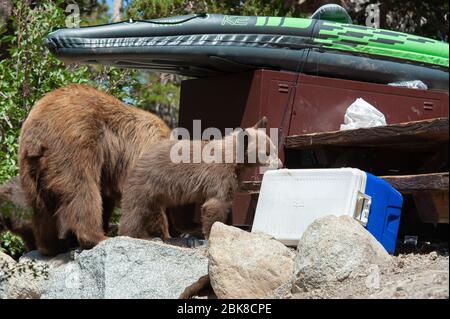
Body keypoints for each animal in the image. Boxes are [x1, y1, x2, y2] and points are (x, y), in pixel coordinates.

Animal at [18, 84, 171, 256]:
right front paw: (156, 234)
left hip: (29, 167)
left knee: (40, 207)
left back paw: (53, 245)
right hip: (75, 145)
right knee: (82, 191)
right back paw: (97, 237)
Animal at [119, 119, 282, 241]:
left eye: (274, 148)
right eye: (267, 152)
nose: (280, 164)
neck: (234, 159)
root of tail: (144, 154)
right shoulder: (219, 174)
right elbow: (215, 203)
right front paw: (211, 234)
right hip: (150, 180)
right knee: (136, 207)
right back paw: (135, 234)